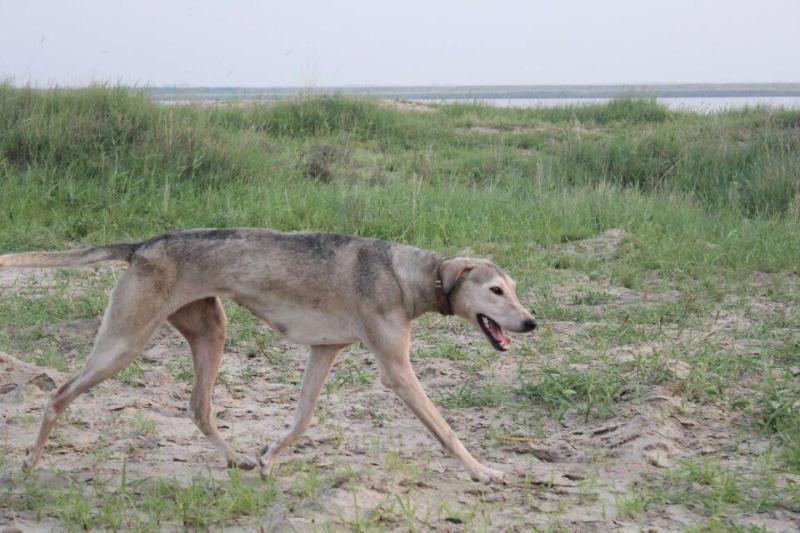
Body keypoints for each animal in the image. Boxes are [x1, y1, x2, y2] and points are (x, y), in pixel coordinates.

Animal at [3, 228, 536, 482]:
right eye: (494, 290)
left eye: (513, 288)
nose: (531, 322)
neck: (408, 274)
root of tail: (141, 246)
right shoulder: (397, 372)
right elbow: (446, 430)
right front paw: (482, 471)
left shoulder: (323, 351)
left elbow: (300, 421)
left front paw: (267, 460)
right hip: (122, 343)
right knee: (58, 394)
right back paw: (29, 464)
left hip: (210, 333)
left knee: (199, 408)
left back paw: (236, 459)